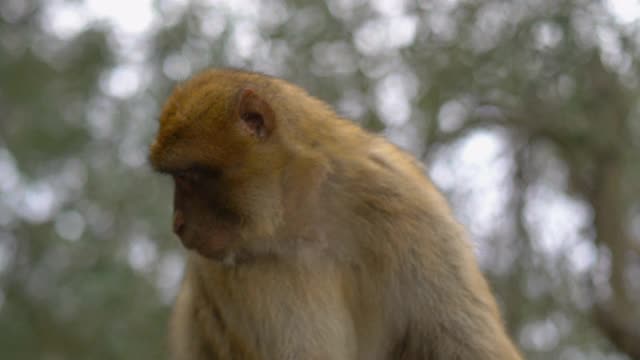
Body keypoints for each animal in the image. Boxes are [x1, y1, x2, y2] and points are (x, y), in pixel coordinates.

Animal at [150, 68, 524, 360]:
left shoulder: (405, 204)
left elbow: (465, 343)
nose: (176, 224)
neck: (309, 217)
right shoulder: (242, 270)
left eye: (187, 177)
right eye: (177, 177)